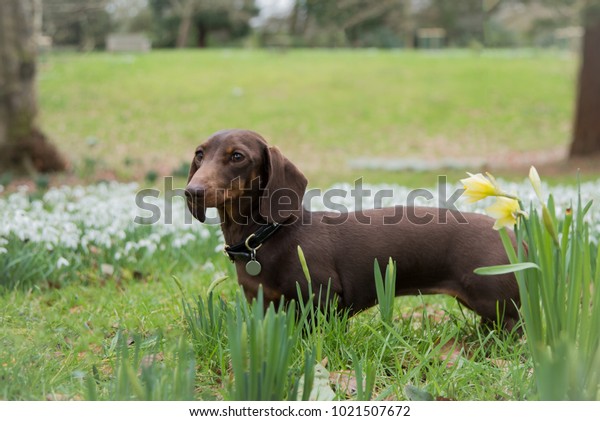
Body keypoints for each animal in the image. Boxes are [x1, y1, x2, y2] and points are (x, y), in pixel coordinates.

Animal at [184, 128, 520, 328]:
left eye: (237, 156)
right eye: (199, 154)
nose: (192, 191)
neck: (264, 238)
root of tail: (512, 234)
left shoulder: (321, 299)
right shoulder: (263, 304)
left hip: (498, 304)